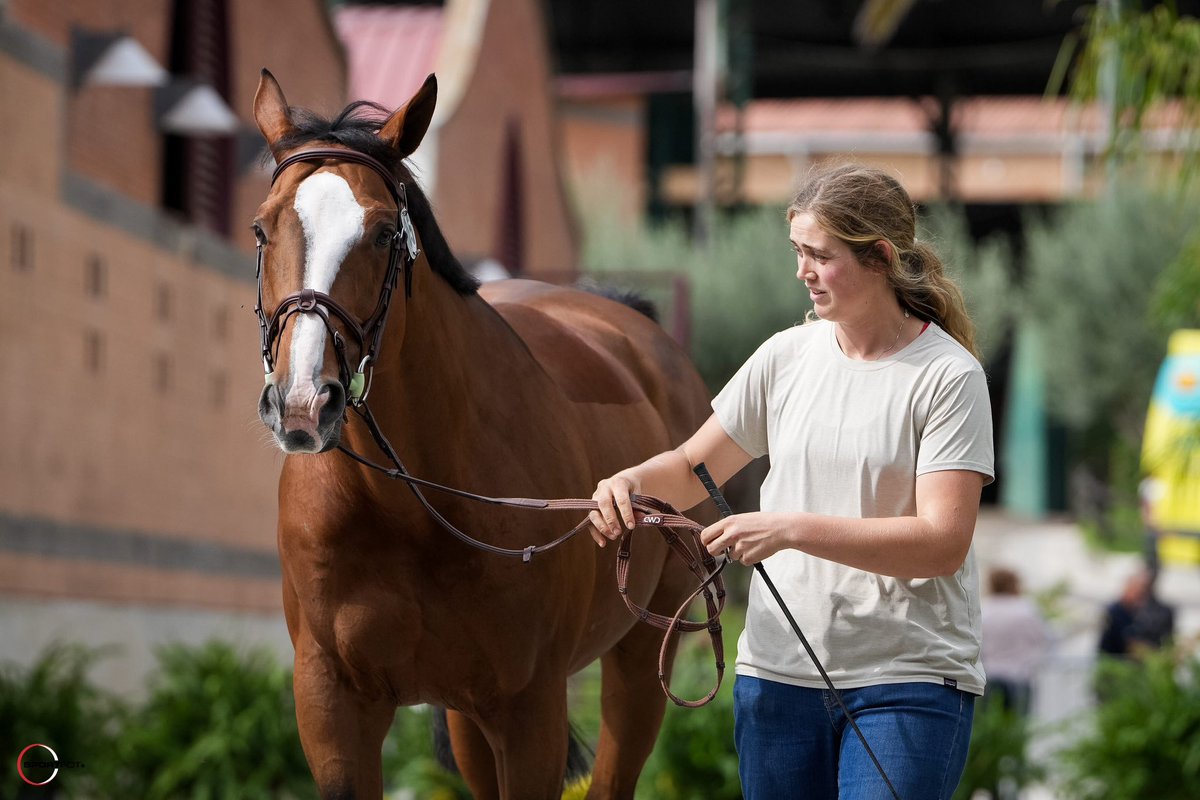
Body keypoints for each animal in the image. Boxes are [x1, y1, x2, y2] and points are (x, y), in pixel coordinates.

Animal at [250, 69, 715, 799]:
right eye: (262, 229)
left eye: (381, 233)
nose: (302, 404)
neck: (410, 506)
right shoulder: (332, 706)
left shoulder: (529, 712)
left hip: (641, 656)